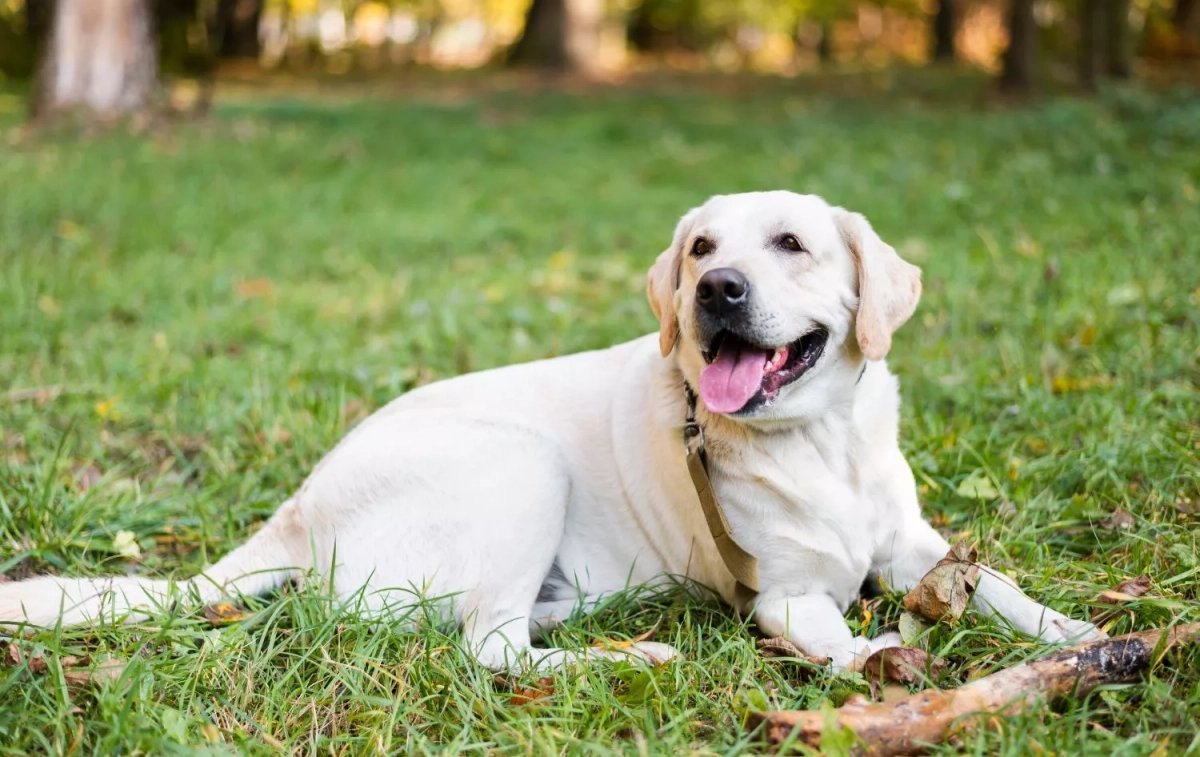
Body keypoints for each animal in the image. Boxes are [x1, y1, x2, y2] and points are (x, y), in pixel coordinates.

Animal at [0, 191, 1099, 671]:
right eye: (701, 246)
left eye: (790, 243)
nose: (715, 288)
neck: (816, 438)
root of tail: (295, 514)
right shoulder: (783, 594)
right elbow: (837, 638)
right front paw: (879, 659)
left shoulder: (914, 544)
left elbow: (1000, 586)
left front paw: (1084, 634)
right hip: (519, 462)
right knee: (490, 649)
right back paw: (628, 657)